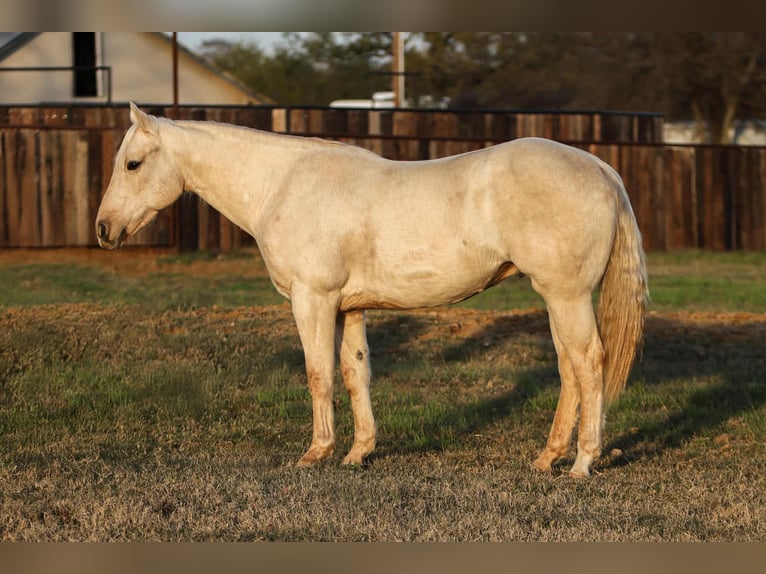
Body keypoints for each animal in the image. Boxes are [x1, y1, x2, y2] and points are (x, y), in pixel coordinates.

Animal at [96, 103, 648, 478]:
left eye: (132, 164)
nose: (104, 229)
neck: (282, 184)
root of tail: (603, 170)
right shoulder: (349, 307)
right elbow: (354, 372)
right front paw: (358, 452)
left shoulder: (313, 300)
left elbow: (319, 374)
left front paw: (316, 453)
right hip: (556, 299)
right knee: (570, 368)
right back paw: (546, 458)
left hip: (567, 297)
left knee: (588, 363)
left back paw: (581, 463)